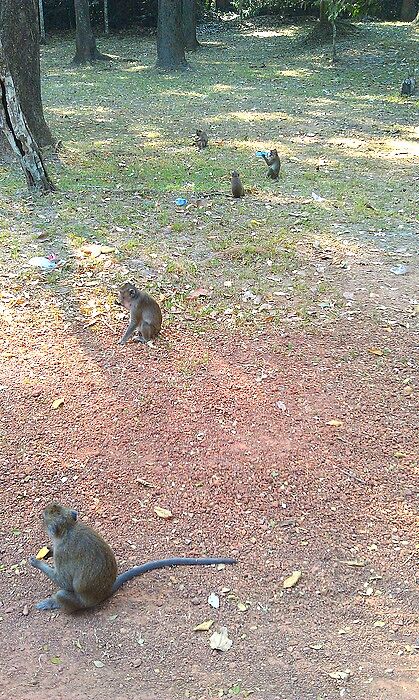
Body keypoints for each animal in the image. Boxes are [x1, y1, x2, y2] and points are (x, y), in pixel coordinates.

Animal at [30, 504, 238, 612]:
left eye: (44, 517)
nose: (40, 515)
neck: (70, 529)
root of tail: (105, 592)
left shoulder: (63, 553)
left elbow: (64, 582)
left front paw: (37, 562)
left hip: (82, 603)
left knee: (62, 594)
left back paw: (54, 603)